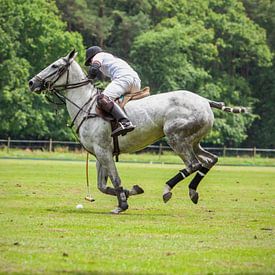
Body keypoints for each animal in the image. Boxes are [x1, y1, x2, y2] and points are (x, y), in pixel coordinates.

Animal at [29, 51, 247, 216]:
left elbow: (115, 179)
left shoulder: (103, 150)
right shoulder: (99, 153)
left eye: (55, 66)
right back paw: (192, 192)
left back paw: (167, 189)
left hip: (176, 136)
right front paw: (130, 191)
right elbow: (102, 186)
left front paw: (122, 205)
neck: (85, 105)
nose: (32, 83)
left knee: (193, 164)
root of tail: (205, 101)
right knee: (210, 160)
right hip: (194, 140)